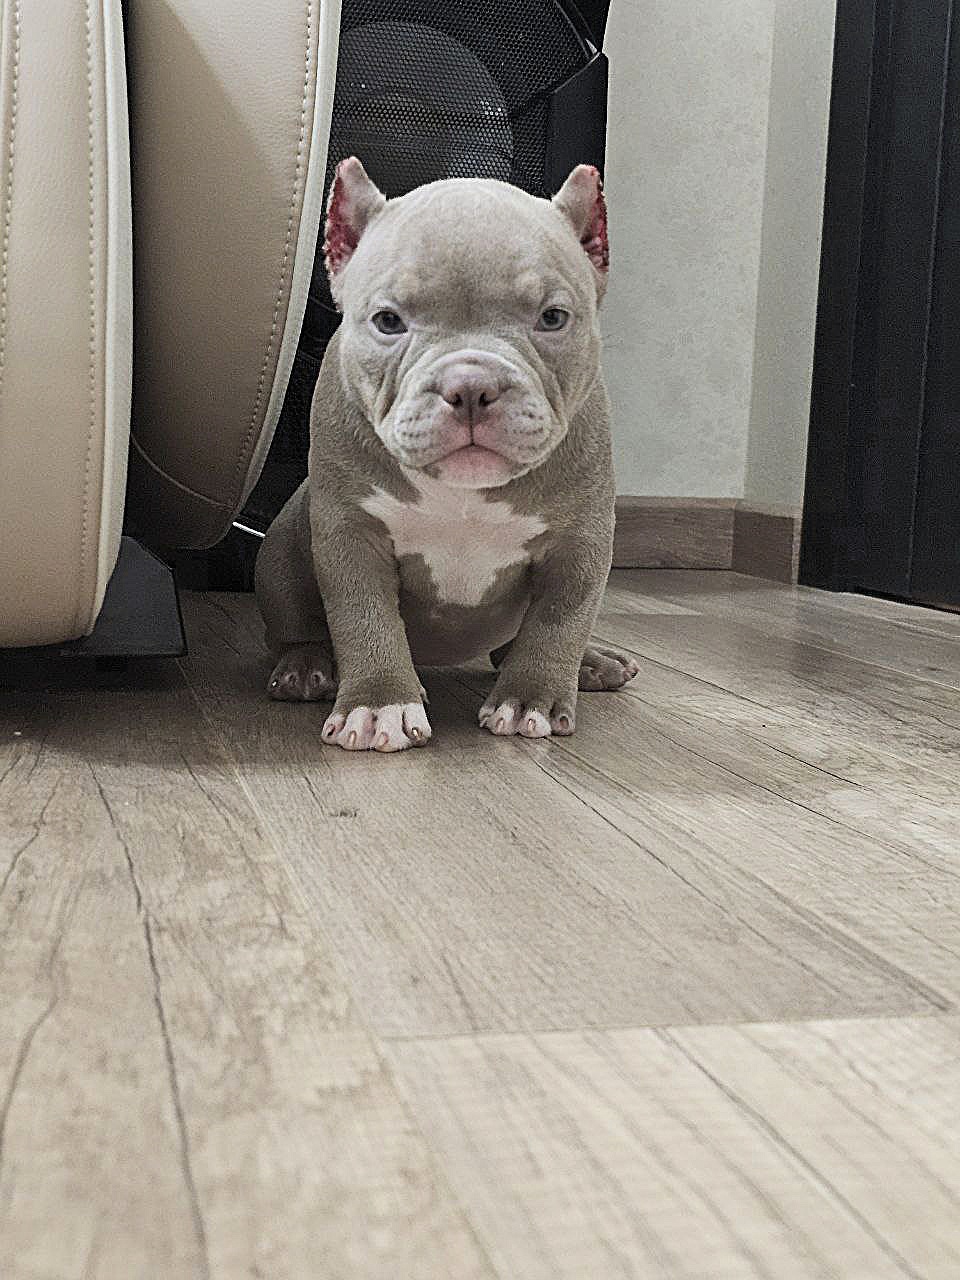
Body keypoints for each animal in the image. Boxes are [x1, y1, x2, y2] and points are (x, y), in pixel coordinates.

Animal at [255, 156, 638, 751]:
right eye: (388, 321)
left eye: (553, 318)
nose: (471, 386)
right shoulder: (352, 537)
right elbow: (364, 620)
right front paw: (379, 705)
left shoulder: (580, 543)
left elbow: (558, 622)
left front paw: (530, 699)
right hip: (280, 552)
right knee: (298, 626)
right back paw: (304, 667)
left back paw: (589, 664)